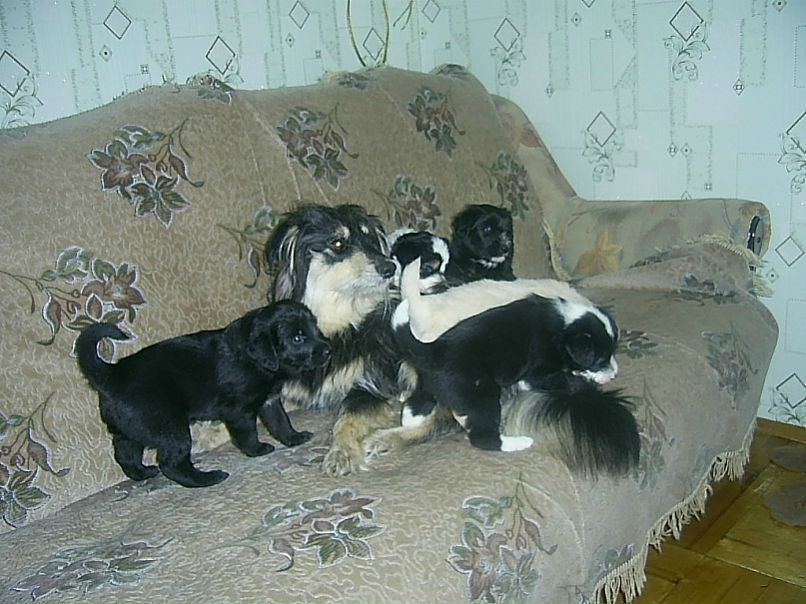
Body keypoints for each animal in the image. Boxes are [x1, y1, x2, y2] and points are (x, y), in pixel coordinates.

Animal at [76, 301, 331, 488]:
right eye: (298, 338)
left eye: (315, 328)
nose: (329, 349)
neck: (256, 361)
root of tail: (113, 373)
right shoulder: (239, 412)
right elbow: (248, 434)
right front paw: (257, 450)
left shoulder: (270, 402)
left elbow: (281, 422)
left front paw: (294, 438)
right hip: (172, 429)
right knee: (171, 464)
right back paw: (208, 478)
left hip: (133, 427)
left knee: (125, 451)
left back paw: (141, 473)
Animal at [265, 203, 421, 476]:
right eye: (338, 243)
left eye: (370, 240)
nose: (390, 268)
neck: (339, 325)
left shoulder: (371, 388)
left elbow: (347, 418)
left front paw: (341, 453)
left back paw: (387, 438)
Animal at [390, 259, 639, 477]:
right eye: (598, 359)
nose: (615, 373)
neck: (564, 320)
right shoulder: (536, 372)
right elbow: (560, 377)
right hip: (480, 393)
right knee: (480, 432)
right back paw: (517, 441)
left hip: (432, 381)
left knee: (417, 401)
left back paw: (411, 420)